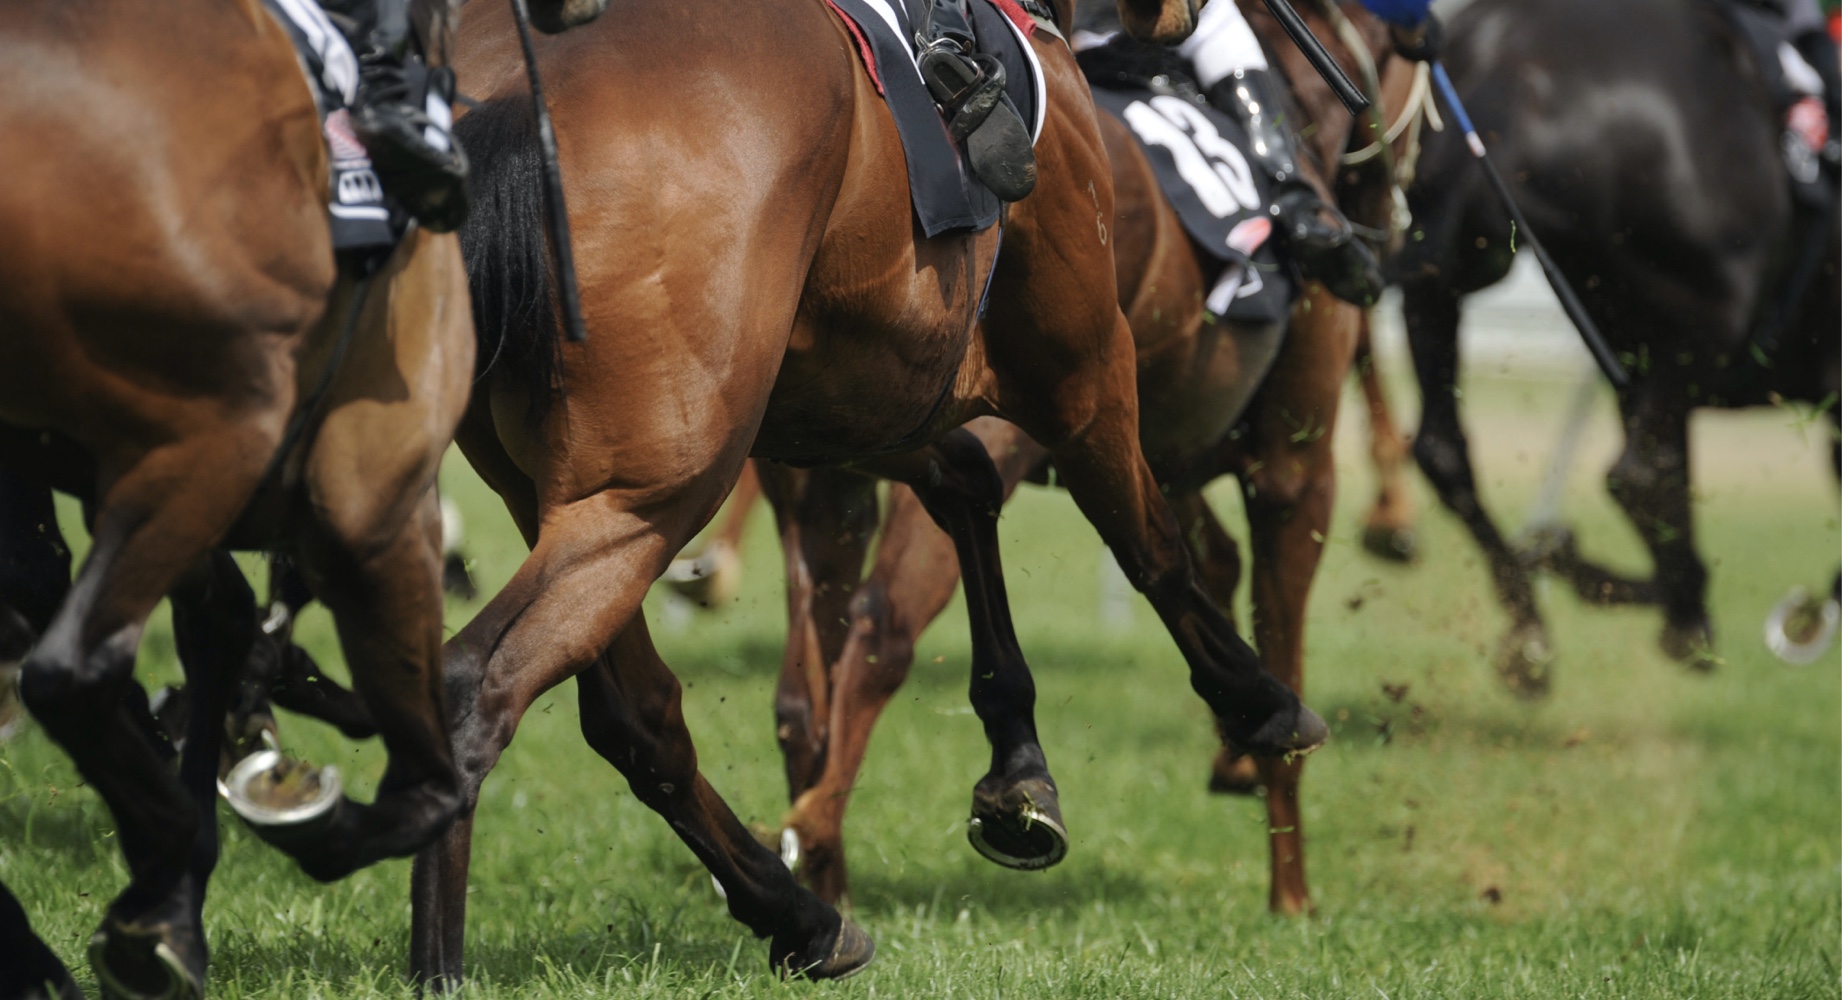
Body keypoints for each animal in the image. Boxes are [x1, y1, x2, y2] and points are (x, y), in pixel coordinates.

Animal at [418, 0, 1328, 983]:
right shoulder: (1082, 365)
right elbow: (1149, 543)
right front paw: (1261, 700)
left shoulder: (845, 406)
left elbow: (966, 488)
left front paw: (1018, 771)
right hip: (648, 495)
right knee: (478, 688)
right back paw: (444, 962)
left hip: (564, 490)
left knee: (637, 717)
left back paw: (803, 916)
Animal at [756, 0, 1418, 916]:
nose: (1384, 231)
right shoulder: (1292, 470)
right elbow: (1269, 626)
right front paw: (1290, 886)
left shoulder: (1152, 452)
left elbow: (1207, 564)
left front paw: (1236, 751)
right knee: (884, 623)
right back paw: (828, 827)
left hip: (819, 462)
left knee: (801, 690)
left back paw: (826, 870)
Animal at [1394, 0, 1841, 694]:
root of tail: (1511, 61)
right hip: (1699, 324)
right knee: (1639, 476)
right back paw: (1683, 617)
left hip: (1445, 283)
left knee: (1445, 452)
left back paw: (1535, 623)